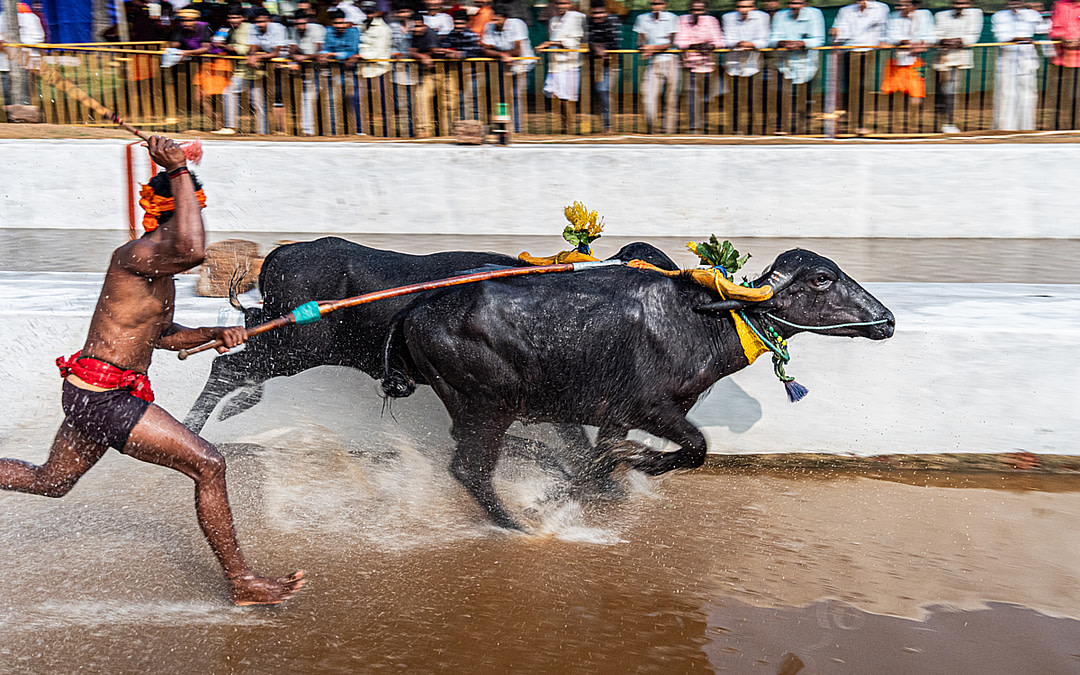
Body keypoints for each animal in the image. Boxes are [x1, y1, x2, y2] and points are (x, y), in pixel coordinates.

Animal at [382, 249, 895, 530]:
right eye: (823, 279)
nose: (887, 320)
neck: (699, 320)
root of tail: (415, 310)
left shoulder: (619, 418)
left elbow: (598, 463)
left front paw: (582, 483)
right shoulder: (650, 408)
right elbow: (695, 448)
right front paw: (639, 462)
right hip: (488, 408)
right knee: (469, 469)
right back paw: (517, 525)